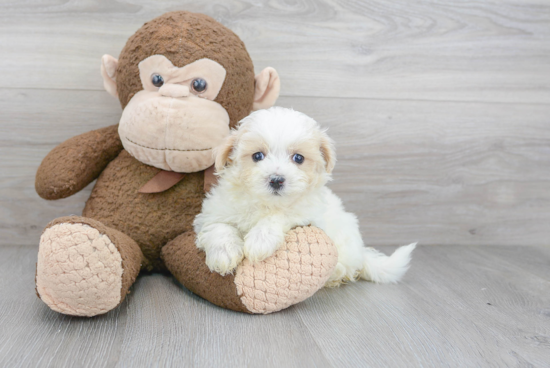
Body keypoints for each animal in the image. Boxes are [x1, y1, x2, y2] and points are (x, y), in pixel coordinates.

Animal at [194, 106, 414, 284]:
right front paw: (224, 254)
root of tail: (361, 252)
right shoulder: (214, 211)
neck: (267, 203)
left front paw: (259, 241)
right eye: (257, 156)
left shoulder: (309, 215)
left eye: (298, 158)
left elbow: (281, 215)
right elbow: (219, 227)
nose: (276, 179)